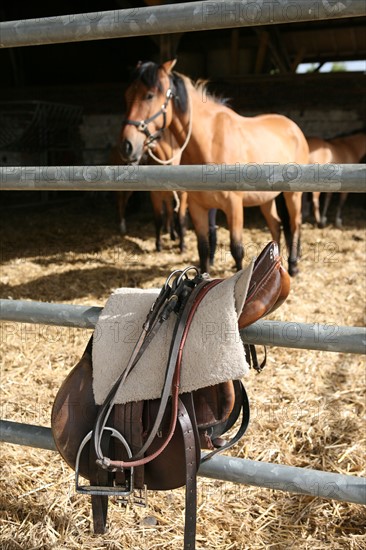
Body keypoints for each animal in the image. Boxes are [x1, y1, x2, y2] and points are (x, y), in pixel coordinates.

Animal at [120, 61, 308, 276]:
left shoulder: (234, 206)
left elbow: (237, 249)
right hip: (266, 199)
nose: (127, 146)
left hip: (293, 195)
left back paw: (293, 266)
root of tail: (294, 128)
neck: (209, 143)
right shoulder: (197, 207)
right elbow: (203, 248)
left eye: (149, 95)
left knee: (294, 224)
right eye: (127, 94)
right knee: (276, 225)